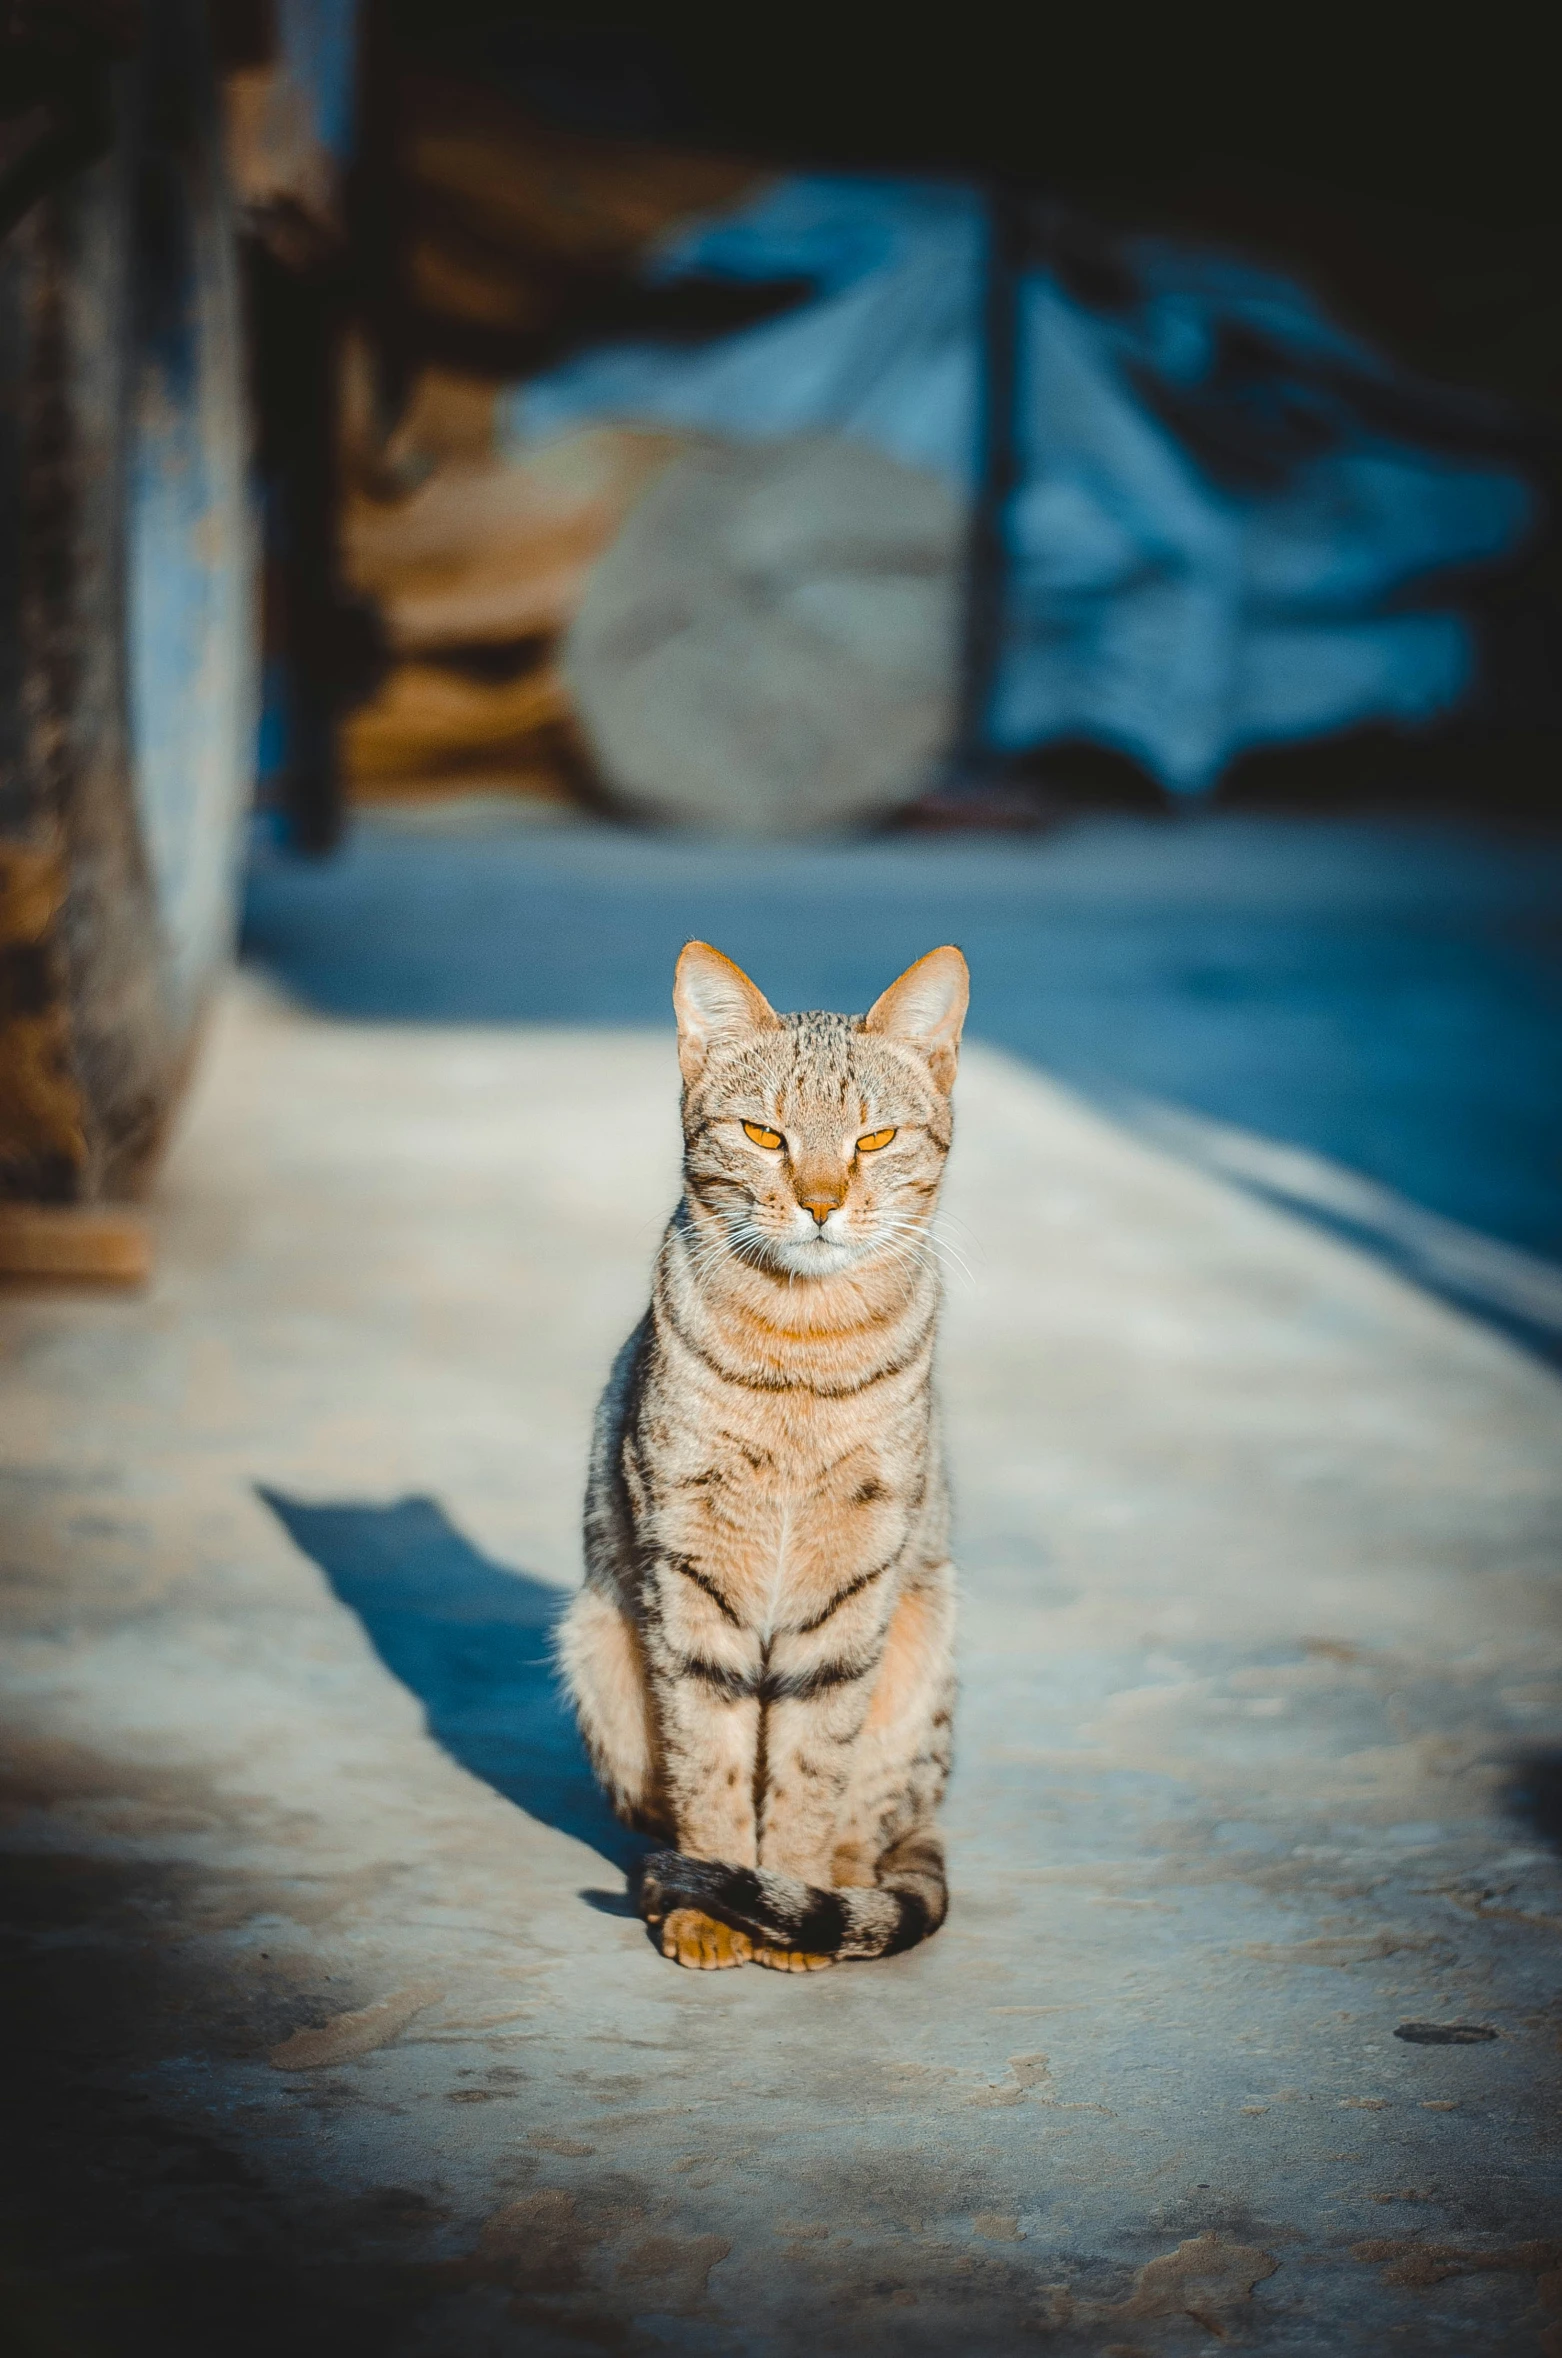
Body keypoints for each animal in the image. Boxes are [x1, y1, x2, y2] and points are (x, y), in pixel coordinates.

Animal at [556, 938, 962, 1971]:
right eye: (763, 1135)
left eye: (874, 1141)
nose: (820, 1203)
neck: (803, 1346)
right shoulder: (689, 1569)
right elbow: (712, 1759)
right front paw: (714, 1902)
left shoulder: (853, 1581)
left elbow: (812, 1765)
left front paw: (789, 1895)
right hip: (599, 1648)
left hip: (918, 1656)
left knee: (873, 1825)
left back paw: (836, 1896)